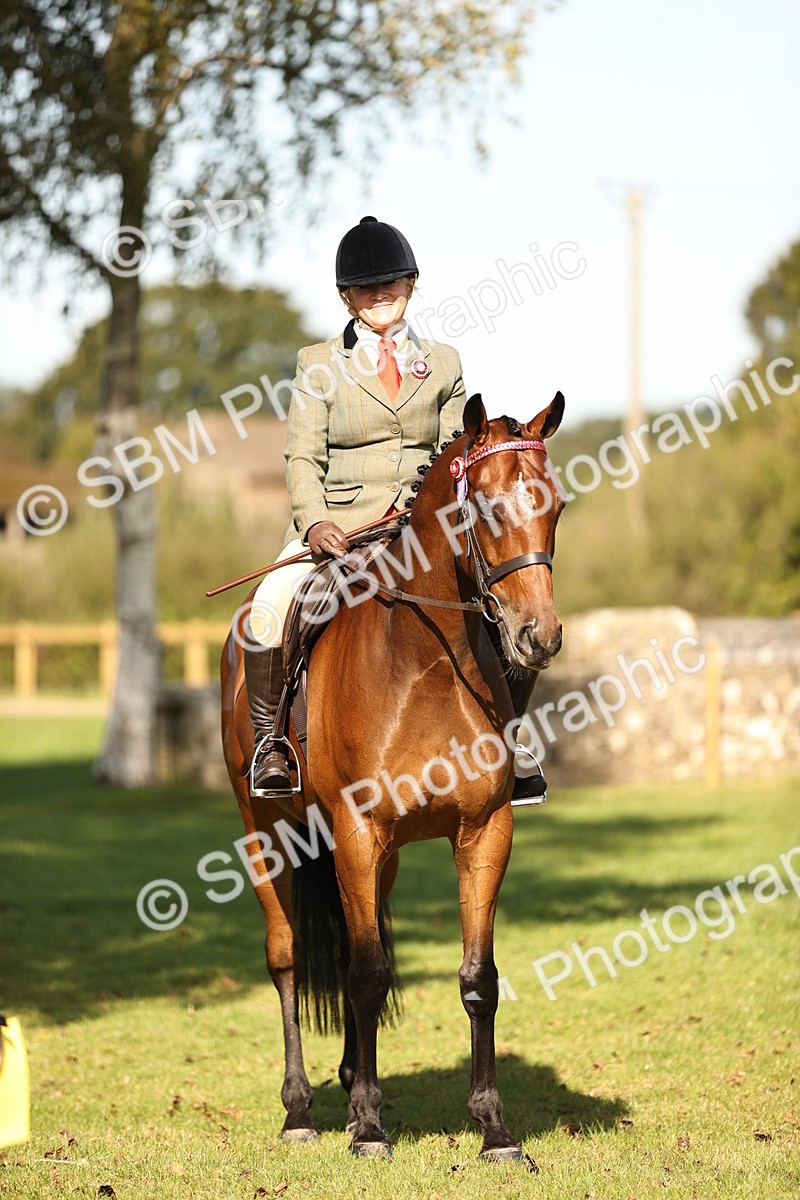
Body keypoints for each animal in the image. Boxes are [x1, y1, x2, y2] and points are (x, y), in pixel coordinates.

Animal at [220, 390, 565, 1162]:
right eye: (486, 507)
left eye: (556, 506)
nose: (540, 637)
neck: (425, 662)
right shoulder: (356, 830)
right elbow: (368, 971)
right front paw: (371, 1128)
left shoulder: (483, 832)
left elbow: (476, 977)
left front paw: (494, 1129)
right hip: (268, 833)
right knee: (288, 956)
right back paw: (302, 1111)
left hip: (383, 859)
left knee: (359, 939)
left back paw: (351, 1085)